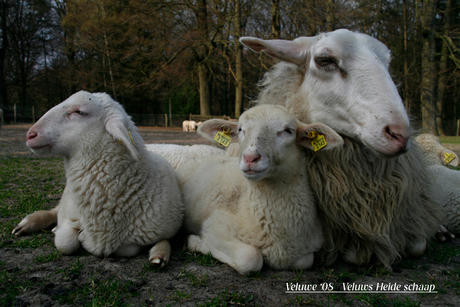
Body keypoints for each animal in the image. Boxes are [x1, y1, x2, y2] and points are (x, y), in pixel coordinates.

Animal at [13, 91, 184, 268]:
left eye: (79, 112)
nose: (30, 134)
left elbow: (128, 248)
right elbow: (65, 243)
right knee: (54, 210)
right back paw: (27, 224)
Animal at [178, 104, 344, 276]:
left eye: (288, 130)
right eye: (240, 129)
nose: (250, 158)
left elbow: (305, 261)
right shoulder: (216, 226)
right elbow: (250, 258)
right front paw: (193, 242)